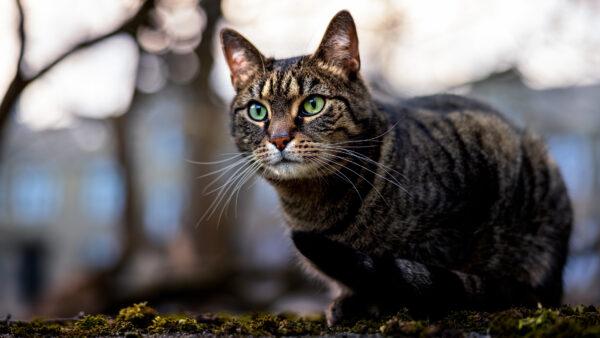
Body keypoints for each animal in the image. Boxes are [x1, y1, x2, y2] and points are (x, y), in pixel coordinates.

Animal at [219, 9, 572, 324]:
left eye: (313, 105)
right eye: (257, 111)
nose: (279, 139)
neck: (314, 205)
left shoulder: (460, 211)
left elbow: (418, 274)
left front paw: (379, 301)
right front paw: (351, 300)